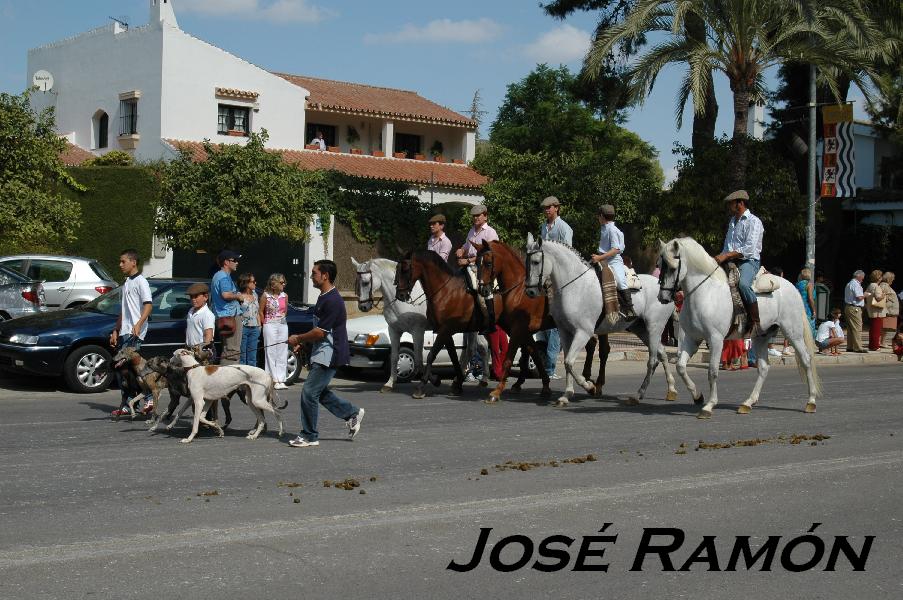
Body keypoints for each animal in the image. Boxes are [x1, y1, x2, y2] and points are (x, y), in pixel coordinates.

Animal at [350, 258, 488, 394]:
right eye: (356, 282)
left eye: (366, 282)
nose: (363, 306)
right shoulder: (394, 330)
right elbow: (394, 357)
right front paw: (389, 384)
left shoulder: (417, 331)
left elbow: (419, 360)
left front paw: (434, 380)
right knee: (481, 348)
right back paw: (476, 380)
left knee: (473, 349)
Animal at [474, 241, 556, 400]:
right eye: (476, 263)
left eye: (488, 263)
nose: (482, 290)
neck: (519, 292)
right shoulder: (524, 332)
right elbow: (533, 355)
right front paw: (544, 386)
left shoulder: (518, 330)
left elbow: (509, 359)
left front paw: (497, 391)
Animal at [524, 234, 680, 408]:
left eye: (536, 261)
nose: (530, 291)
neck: (575, 287)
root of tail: (666, 291)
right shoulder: (565, 332)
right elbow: (567, 362)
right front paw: (566, 395)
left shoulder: (583, 332)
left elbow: (570, 362)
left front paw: (589, 386)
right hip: (642, 330)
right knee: (662, 353)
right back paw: (671, 390)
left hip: (655, 327)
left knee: (653, 360)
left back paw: (638, 395)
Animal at [652, 237, 824, 420]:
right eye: (659, 264)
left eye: (672, 267)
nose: (663, 297)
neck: (705, 294)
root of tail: (792, 287)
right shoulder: (692, 339)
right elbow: (681, 367)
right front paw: (698, 396)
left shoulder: (715, 340)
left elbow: (712, 371)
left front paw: (709, 406)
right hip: (761, 337)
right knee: (763, 368)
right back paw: (748, 403)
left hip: (793, 332)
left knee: (806, 359)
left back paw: (811, 401)